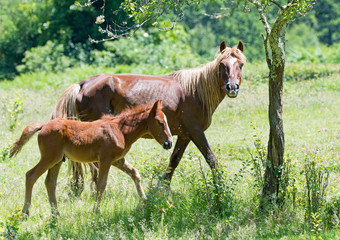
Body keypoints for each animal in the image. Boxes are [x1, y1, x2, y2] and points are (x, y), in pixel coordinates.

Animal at [10, 99, 173, 216]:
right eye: (160, 123)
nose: (169, 143)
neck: (120, 130)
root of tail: (43, 126)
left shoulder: (117, 160)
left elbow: (135, 173)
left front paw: (145, 201)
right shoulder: (105, 159)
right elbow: (101, 184)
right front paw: (96, 211)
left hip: (57, 161)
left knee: (50, 182)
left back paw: (56, 214)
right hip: (49, 158)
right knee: (30, 176)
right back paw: (25, 213)